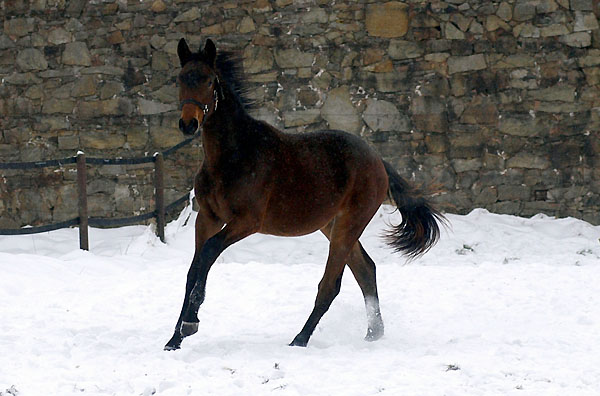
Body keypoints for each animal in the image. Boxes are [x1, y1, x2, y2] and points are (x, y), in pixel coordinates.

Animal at [164, 38, 446, 352]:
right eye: (181, 78)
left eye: (209, 80)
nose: (188, 124)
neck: (233, 156)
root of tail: (378, 161)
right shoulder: (207, 218)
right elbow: (193, 269)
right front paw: (175, 338)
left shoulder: (246, 222)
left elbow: (208, 254)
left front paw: (190, 323)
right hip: (332, 225)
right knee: (365, 270)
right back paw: (374, 333)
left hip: (349, 224)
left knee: (331, 284)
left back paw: (300, 339)